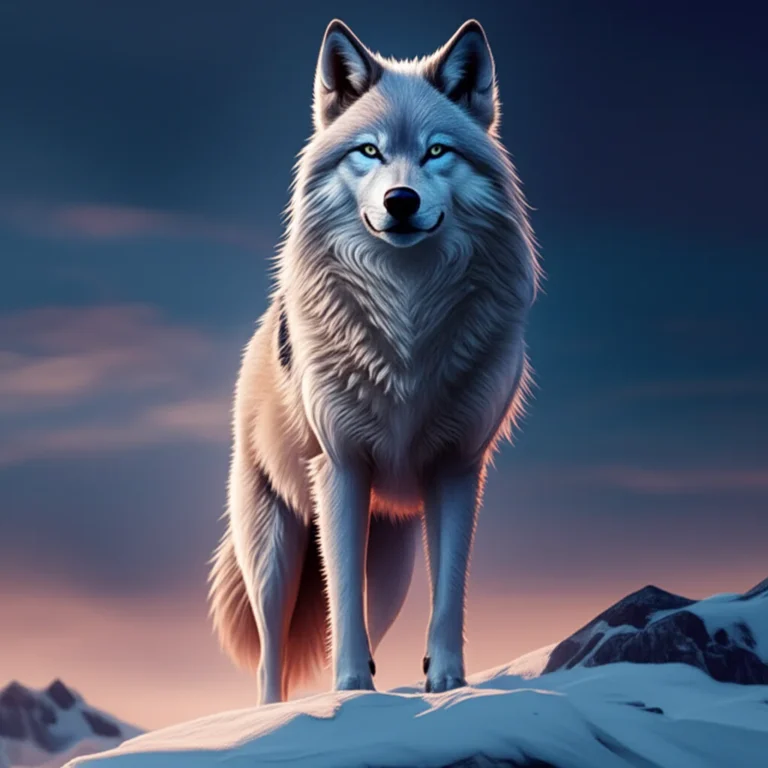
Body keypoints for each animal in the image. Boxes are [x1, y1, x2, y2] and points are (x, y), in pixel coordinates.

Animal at [208, 18, 539, 704]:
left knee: (366, 609)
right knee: (273, 653)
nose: (401, 200)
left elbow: (449, 593)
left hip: (390, 566)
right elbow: (340, 606)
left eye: (437, 151)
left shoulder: (458, 469)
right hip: (274, 548)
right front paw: (351, 691)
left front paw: (447, 682)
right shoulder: (340, 468)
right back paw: (272, 710)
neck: (406, 315)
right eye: (369, 151)